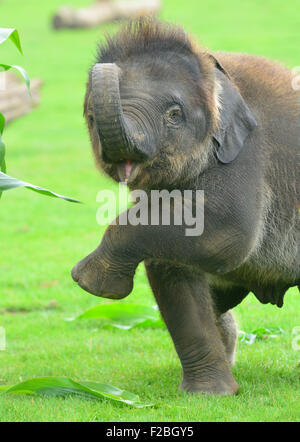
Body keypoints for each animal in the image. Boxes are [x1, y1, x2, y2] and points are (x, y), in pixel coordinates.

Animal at [71, 19, 298, 396]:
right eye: (90, 118)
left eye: (174, 114)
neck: (216, 70)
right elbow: (172, 264)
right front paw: (212, 395)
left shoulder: (247, 152)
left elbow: (227, 234)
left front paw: (92, 282)